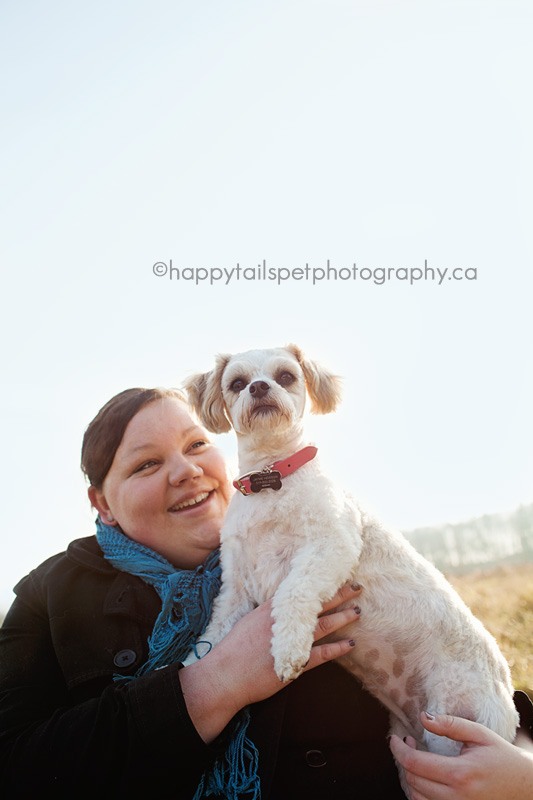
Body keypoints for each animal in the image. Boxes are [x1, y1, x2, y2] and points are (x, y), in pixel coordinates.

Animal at [182, 344, 516, 792]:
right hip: (411, 746)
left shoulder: (331, 546)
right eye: (236, 383)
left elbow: (293, 592)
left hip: (453, 719)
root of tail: (506, 698)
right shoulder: (235, 589)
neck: (272, 478)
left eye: (285, 376)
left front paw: (288, 650)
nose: (259, 387)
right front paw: (184, 673)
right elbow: (212, 638)